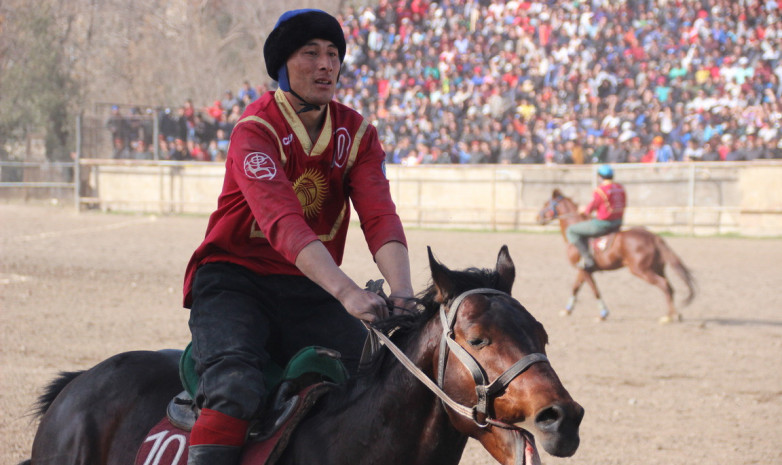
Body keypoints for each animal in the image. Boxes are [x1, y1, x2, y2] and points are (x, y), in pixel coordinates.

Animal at [540, 188, 700, 322]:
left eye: (546, 204)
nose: (537, 218)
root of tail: (653, 237)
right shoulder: (583, 270)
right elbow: (575, 288)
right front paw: (567, 310)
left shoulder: (585, 270)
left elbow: (595, 291)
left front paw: (603, 314)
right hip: (658, 268)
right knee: (670, 287)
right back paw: (673, 314)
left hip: (641, 270)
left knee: (664, 285)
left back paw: (670, 316)